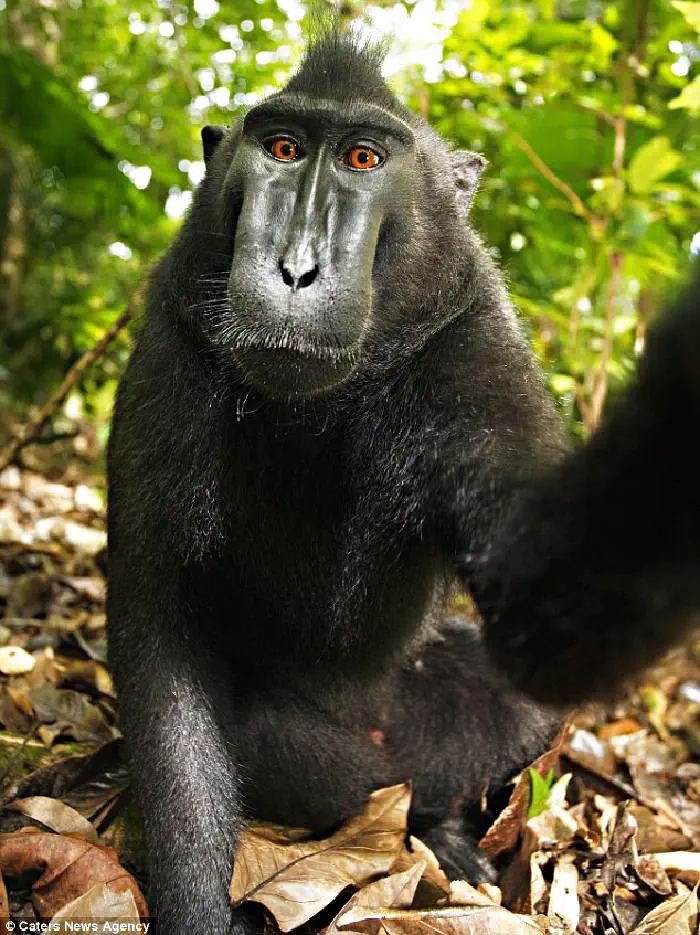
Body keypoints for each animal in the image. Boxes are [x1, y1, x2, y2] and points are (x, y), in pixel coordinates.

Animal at [107, 31, 700, 935]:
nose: (297, 269)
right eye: (283, 149)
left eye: (363, 158)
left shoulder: (473, 344)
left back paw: (448, 829)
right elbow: (160, 634)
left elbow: (547, 617)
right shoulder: (173, 347)